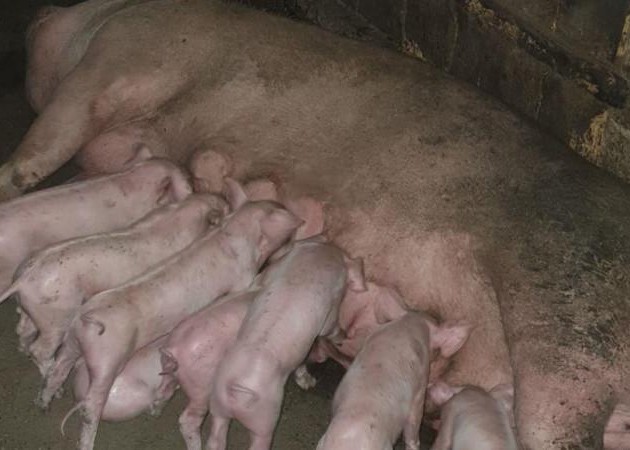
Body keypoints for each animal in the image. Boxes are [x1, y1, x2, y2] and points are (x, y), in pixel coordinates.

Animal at [0, 193, 228, 376]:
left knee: (23, 329)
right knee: (40, 349)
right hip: (56, 316)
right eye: (225, 209)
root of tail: (23, 280)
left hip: (36, 309)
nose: (229, 207)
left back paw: (23, 348)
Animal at [39, 179, 301, 450]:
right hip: (107, 358)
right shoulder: (242, 278)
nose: (295, 234)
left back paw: (44, 405)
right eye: (282, 214)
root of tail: (88, 316)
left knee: (58, 369)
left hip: (72, 340)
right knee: (91, 405)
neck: (238, 233)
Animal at [207, 235, 366, 450]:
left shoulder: (272, 271)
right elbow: (330, 328)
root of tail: (237, 386)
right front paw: (342, 338)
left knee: (215, 437)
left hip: (217, 402)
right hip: (265, 418)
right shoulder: (331, 307)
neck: (314, 260)